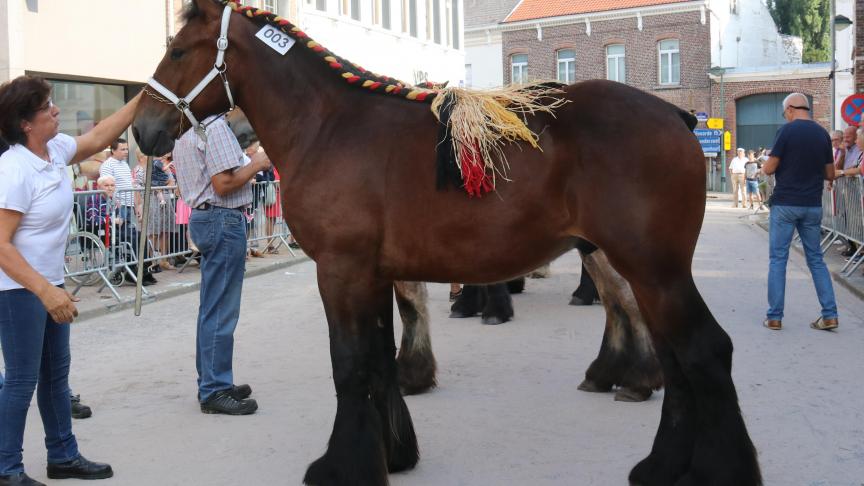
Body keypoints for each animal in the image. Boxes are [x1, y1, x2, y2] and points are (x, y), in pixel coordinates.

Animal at [132, 1, 760, 484]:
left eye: (179, 50)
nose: (142, 130)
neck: (329, 127)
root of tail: (676, 116)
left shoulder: (340, 270)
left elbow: (350, 367)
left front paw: (343, 467)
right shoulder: (373, 274)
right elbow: (379, 361)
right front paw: (394, 453)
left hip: (654, 270)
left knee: (705, 352)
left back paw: (716, 468)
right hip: (648, 272)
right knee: (676, 359)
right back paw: (661, 464)